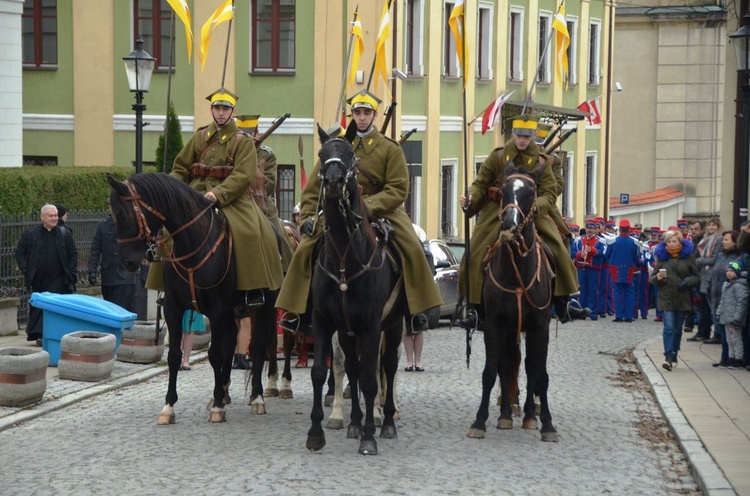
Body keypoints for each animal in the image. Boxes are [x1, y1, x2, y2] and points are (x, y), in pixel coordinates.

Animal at [106, 172, 280, 424]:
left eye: (121, 214)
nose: (128, 262)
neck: (193, 244)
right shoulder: (173, 307)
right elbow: (175, 356)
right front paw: (169, 407)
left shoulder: (217, 309)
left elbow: (215, 354)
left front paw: (218, 407)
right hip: (233, 310)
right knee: (232, 343)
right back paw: (224, 392)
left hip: (263, 307)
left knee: (257, 346)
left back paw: (256, 397)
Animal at [306, 123, 408, 454]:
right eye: (322, 154)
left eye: (350, 155)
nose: (334, 181)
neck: (344, 259)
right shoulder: (326, 323)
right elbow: (322, 371)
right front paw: (317, 432)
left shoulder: (372, 325)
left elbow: (370, 378)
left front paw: (369, 437)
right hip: (348, 331)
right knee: (352, 366)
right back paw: (353, 422)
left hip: (395, 325)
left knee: (387, 367)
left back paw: (385, 421)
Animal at [468, 165, 560, 444]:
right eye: (504, 190)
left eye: (531, 192)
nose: (509, 226)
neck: (517, 271)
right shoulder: (494, 326)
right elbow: (491, 372)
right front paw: (480, 421)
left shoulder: (539, 328)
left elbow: (540, 375)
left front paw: (548, 425)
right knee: (506, 366)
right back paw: (506, 415)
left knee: (529, 368)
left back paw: (530, 415)